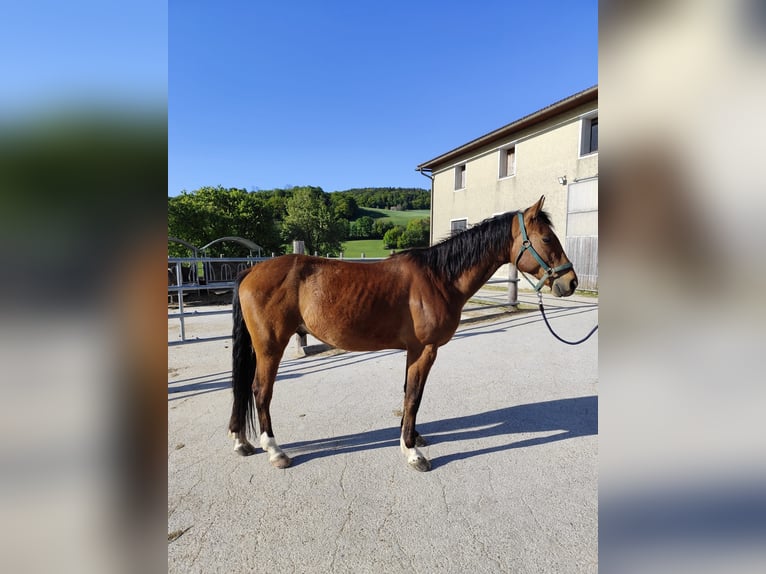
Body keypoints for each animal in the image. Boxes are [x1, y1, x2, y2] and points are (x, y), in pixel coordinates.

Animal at [228, 196, 578, 471]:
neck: (439, 278)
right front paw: (412, 452)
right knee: (260, 391)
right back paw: (275, 450)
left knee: (243, 389)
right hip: (270, 346)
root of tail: (250, 270)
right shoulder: (425, 349)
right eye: (547, 239)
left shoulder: (413, 351)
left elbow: (409, 392)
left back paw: (241, 441)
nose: (571, 281)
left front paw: (411, 436)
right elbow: (413, 397)